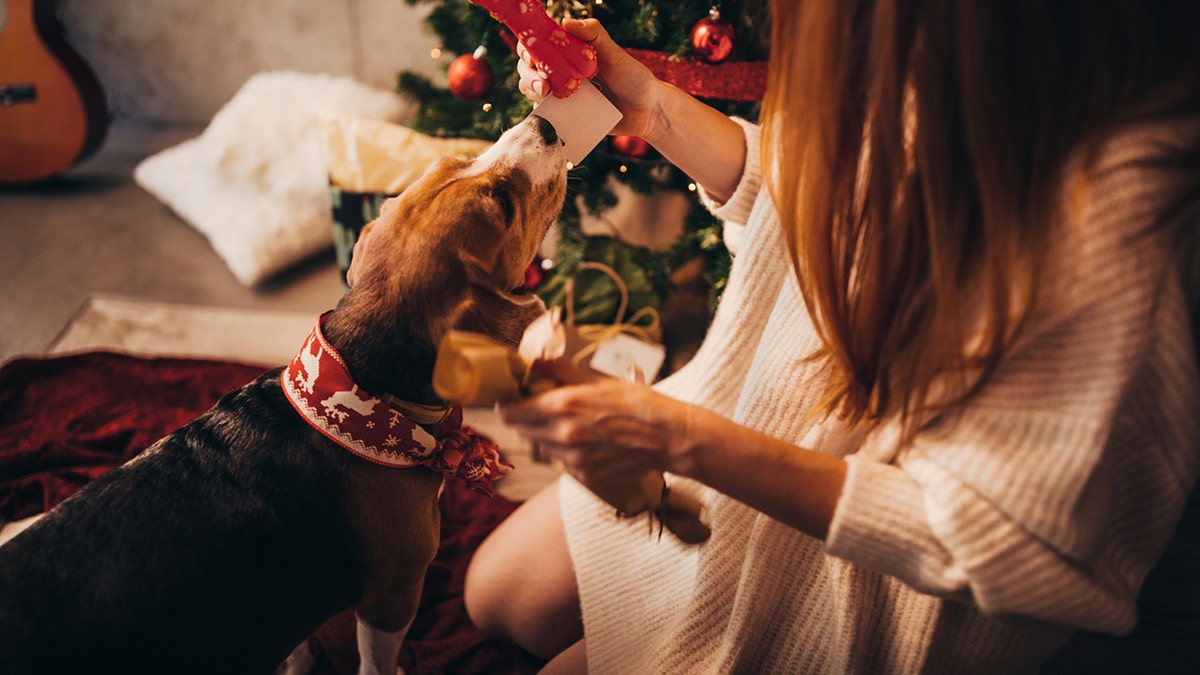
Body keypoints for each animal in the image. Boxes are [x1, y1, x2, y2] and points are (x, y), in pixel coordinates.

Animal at [0, 112, 566, 667]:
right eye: (503, 205)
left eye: (456, 161)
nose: (546, 125)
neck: (361, 402)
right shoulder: (394, 597)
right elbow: (377, 659)